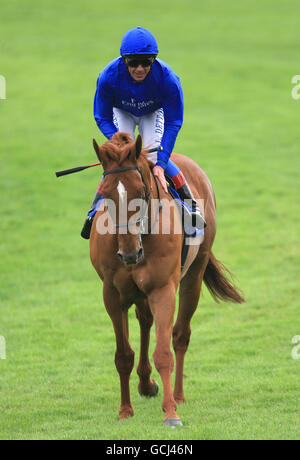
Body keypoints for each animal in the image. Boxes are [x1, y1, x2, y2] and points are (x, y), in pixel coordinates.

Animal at [89, 131, 244, 426]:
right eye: (106, 194)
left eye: (141, 191)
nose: (129, 253)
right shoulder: (112, 294)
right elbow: (123, 354)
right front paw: (125, 410)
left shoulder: (163, 289)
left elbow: (164, 352)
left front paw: (171, 412)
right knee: (145, 320)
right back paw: (146, 383)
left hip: (193, 275)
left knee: (181, 335)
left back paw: (178, 395)